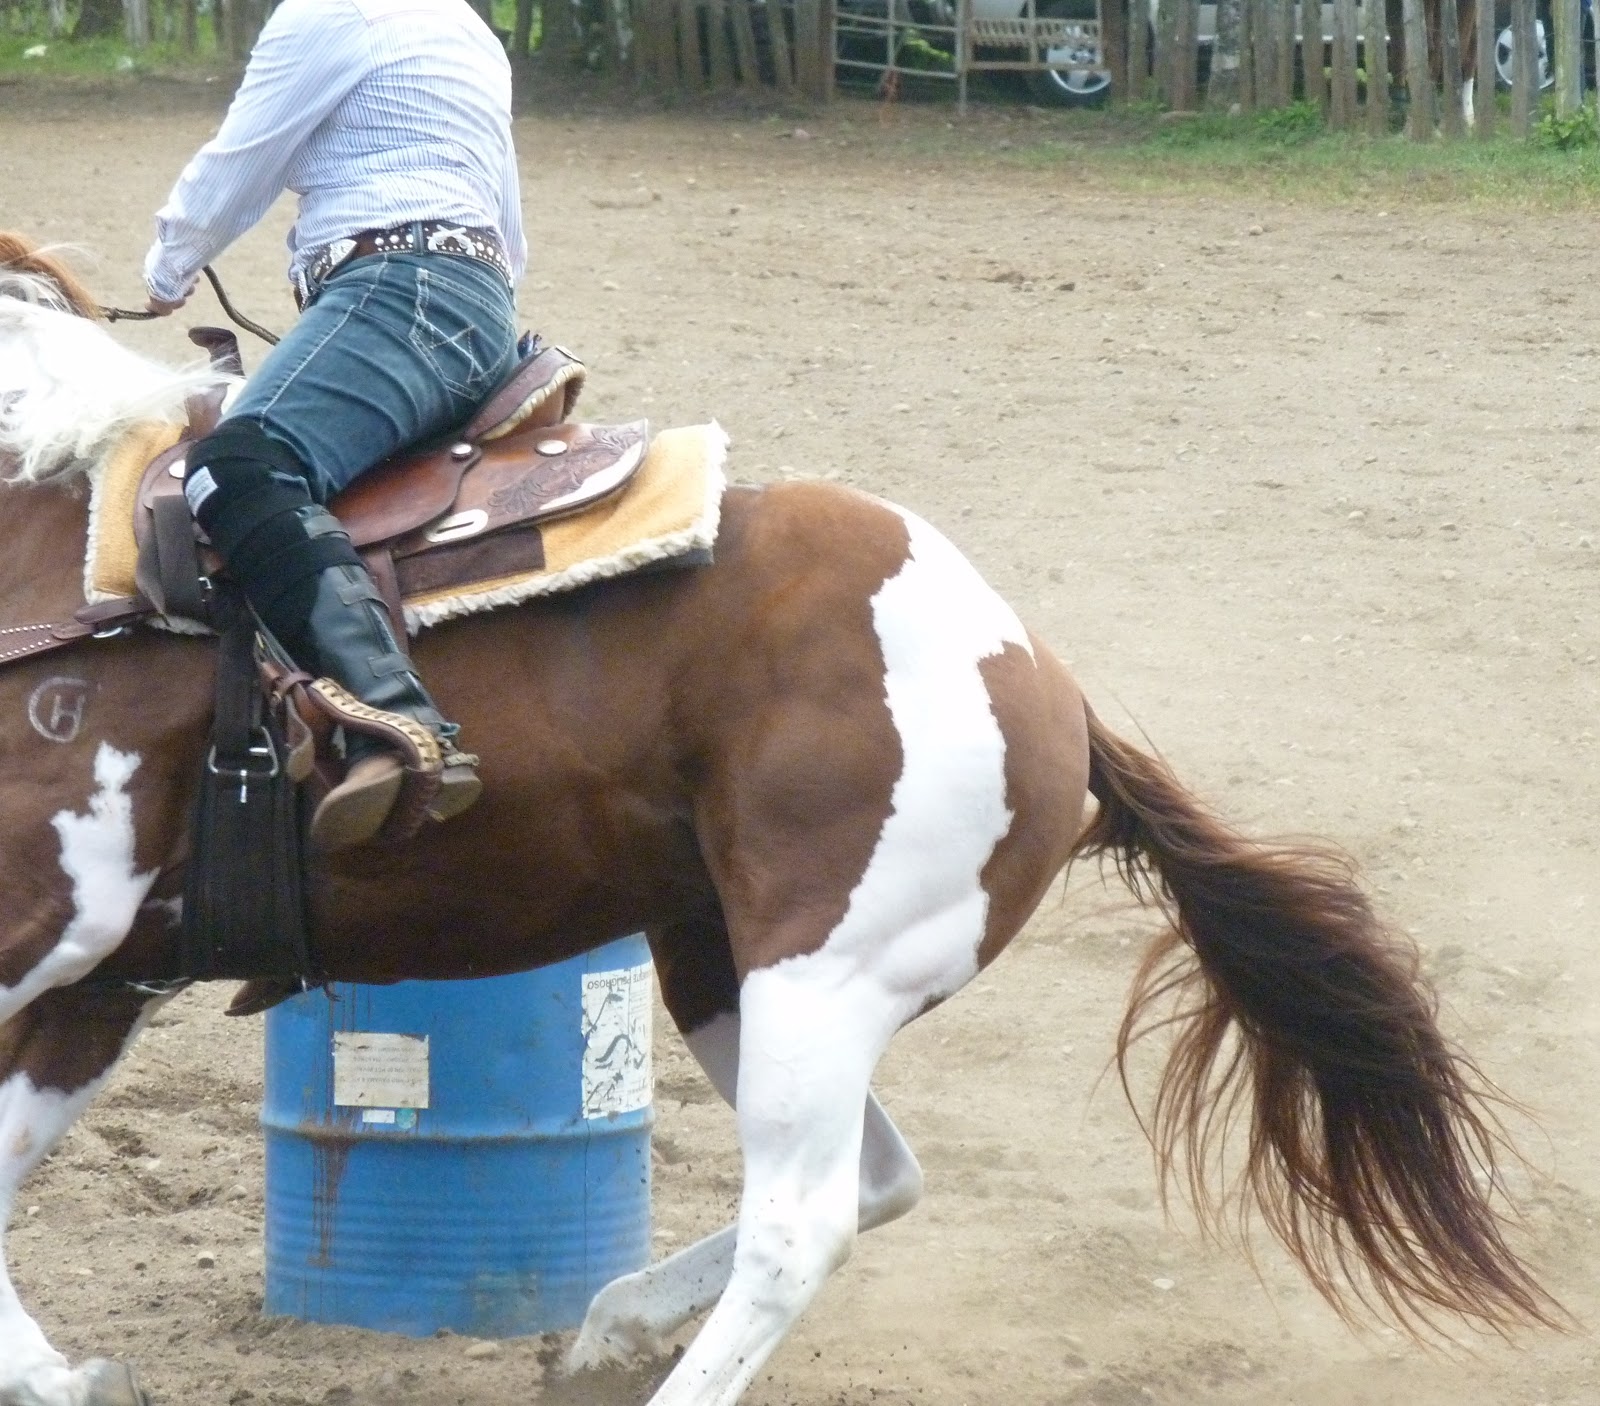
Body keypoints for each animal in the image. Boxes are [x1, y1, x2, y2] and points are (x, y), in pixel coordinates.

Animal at [0, 235, 1560, 1406]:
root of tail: (1038, 671)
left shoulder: (54, 924)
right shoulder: (96, 980)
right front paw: (67, 1379)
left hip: (825, 967)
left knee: (800, 1221)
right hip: (720, 964)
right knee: (873, 1179)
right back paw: (613, 1326)